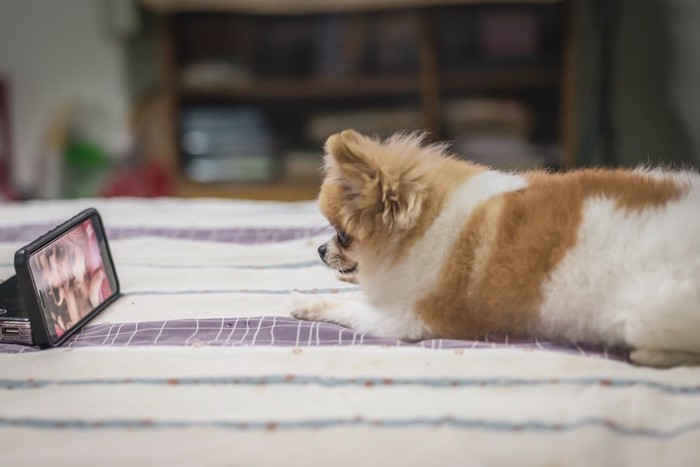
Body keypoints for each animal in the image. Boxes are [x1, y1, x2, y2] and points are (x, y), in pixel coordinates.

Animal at [288, 130, 700, 368]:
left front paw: (306, 302)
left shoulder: (408, 319)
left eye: (343, 235)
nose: (320, 249)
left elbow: (348, 307)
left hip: (647, 314)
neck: (431, 221)